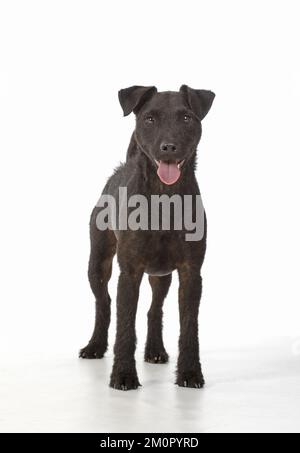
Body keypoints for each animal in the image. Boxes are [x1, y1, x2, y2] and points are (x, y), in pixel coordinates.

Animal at [79, 85, 216, 388]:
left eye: (186, 118)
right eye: (149, 119)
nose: (169, 147)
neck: (164, 199)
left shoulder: (191, 272)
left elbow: (190, 325)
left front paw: (190, 373)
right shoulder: (130, 271)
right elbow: (125, 325)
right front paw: (123, 375)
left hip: (160, 274)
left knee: (154, 309)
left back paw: (155, 350)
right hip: (98, 263)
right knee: (104, 303)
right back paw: (95, 346)